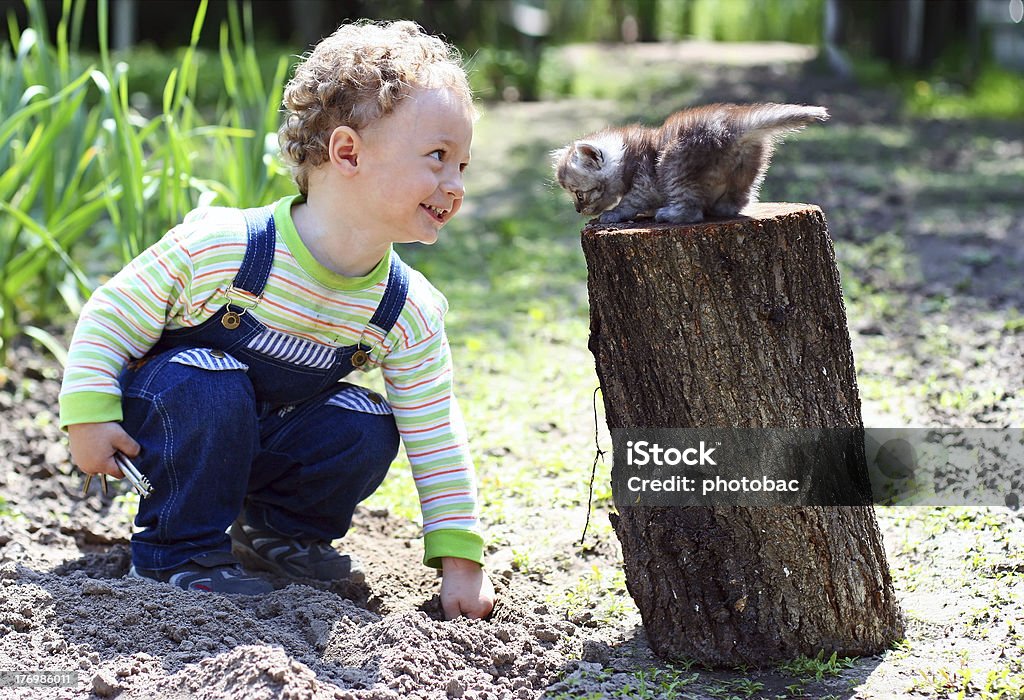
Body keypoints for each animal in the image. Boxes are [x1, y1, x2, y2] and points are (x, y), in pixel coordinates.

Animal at [557, 102, 827, 224]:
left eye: (579, 194)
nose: (577, 210)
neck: (627, 154)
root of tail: (735, 128)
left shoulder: (645, 181)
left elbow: (630, 202)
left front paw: (613, 215)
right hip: (748, 169)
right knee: (734, 202)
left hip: (674, 163)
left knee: (693, 211)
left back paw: (669, 214)